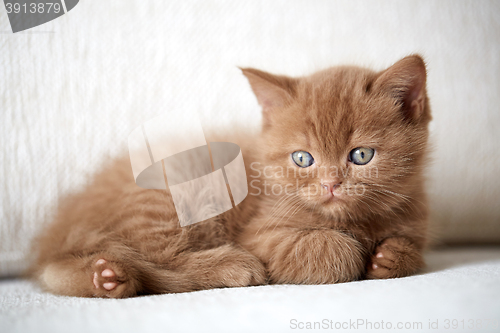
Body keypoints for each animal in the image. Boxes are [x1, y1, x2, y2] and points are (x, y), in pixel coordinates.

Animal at [32, 55, 430, 298]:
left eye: (361, 155)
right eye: (303, 158)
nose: (331, 184)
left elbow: (411, 247)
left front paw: (390, 256)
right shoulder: (260, 235)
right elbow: (332, 249)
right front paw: (356, 252)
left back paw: (106, 278)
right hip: (170, 195)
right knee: (162, 264)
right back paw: (230, 267)